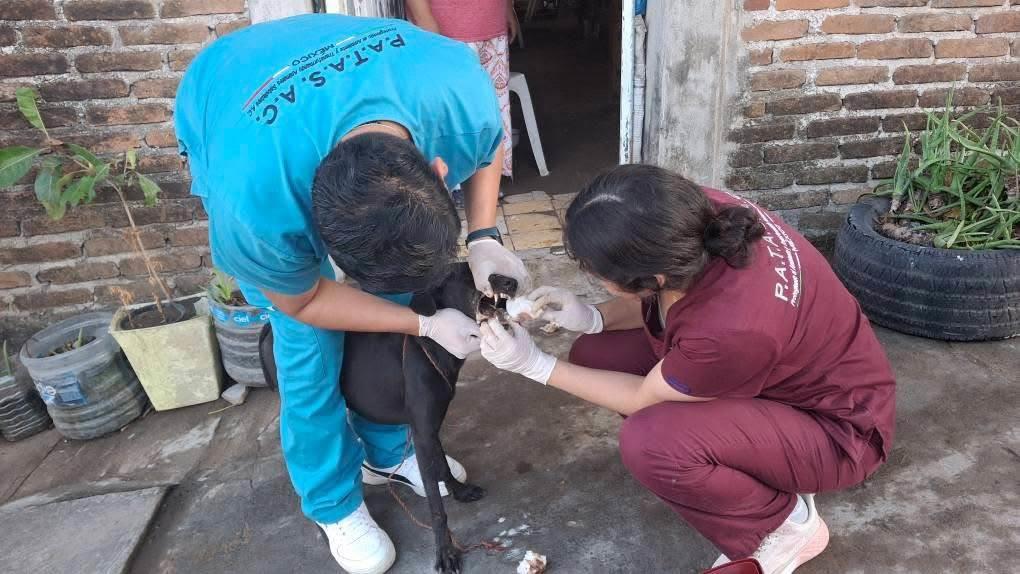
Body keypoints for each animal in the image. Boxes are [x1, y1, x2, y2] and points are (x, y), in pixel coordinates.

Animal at [259, 263, 518, 570]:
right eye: (466, 274)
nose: (512, 282)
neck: (431, 346)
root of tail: (267, 328)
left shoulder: (428, 428)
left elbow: (442, 464)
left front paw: (458, 490)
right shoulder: (422, 432)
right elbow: (436, 507)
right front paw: (445, 551)